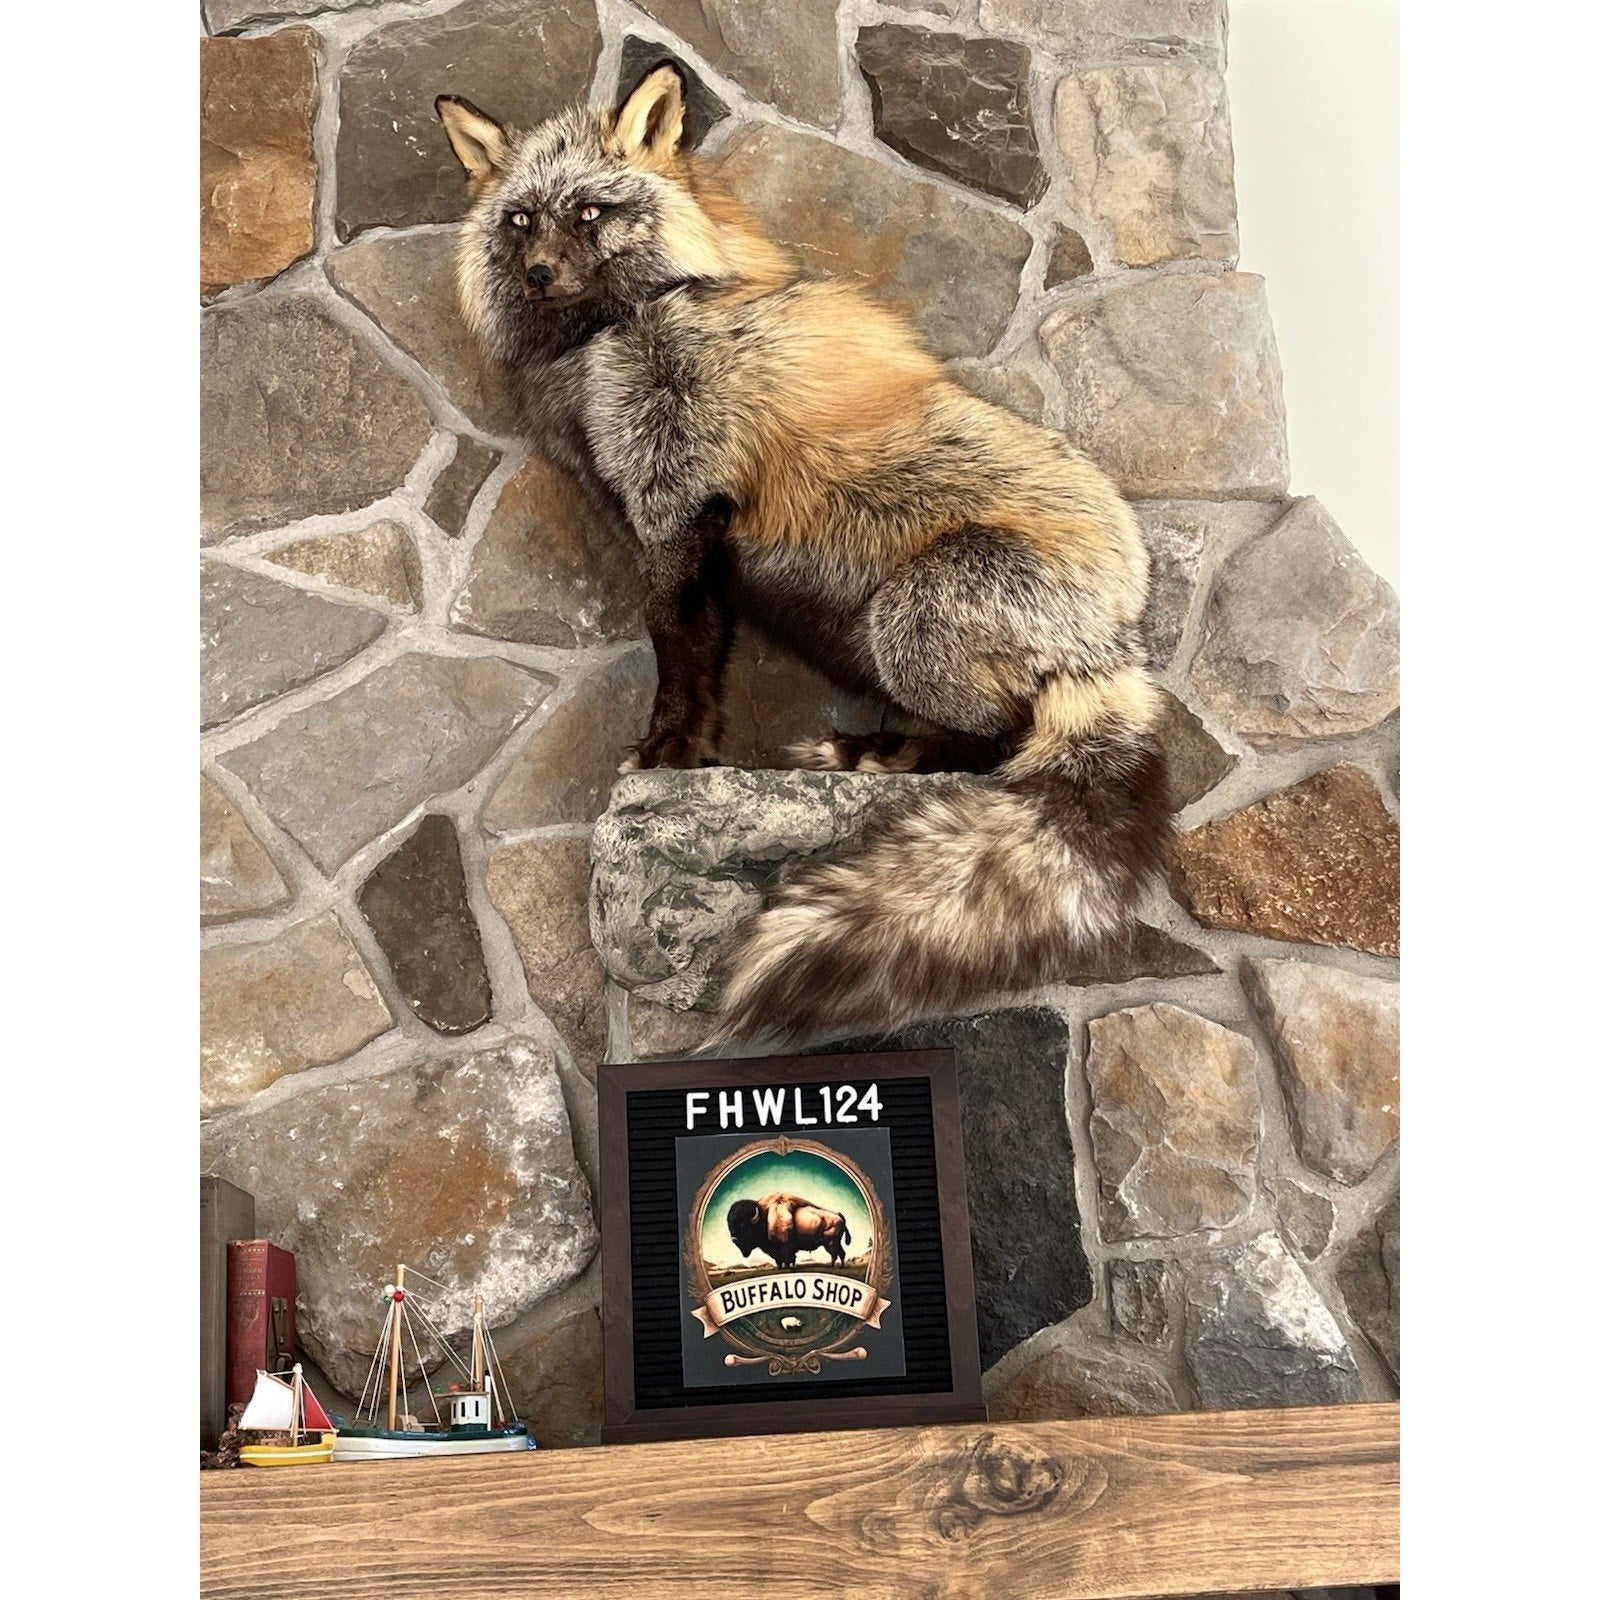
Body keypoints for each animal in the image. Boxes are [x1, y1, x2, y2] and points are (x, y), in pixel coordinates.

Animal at [435, 64, 1170, 1044]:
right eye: (520, 221)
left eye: (590, 213)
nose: (539, 273)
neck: (610, 343)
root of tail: (1121, 640)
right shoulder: (657, 519)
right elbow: (704, 646)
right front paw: (697, 748)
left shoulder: (678, 498)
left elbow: (675, 642)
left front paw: (669, 751)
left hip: (910, 620)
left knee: (999, 747)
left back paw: (875, 756)